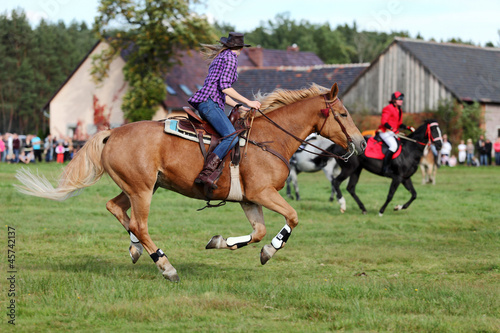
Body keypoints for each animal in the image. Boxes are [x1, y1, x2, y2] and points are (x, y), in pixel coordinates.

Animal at [16, 83, 368, 280]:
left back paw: (136, 249)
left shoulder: (250, 199)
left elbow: (257, 232)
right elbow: (292, 217)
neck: (270, 139)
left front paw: (222, 242)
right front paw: (271, 250)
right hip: (142, 189)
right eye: (344, 114)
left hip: (140, 186)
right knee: (140, 224)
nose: (361, 143)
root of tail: (112, 132)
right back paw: (165, 266)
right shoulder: (263, 193)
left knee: (116, 209)